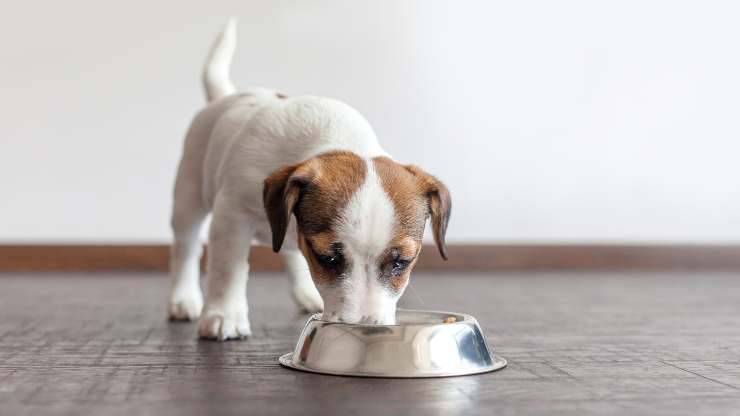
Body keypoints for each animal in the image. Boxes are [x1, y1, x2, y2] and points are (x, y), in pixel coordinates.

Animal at [169, 20, 450, 342]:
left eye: (401, 262)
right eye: (328, 259)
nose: (364, 327)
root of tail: (223, 98)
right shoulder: (232, 214)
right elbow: (227, 268)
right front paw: (223, 315)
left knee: (290, 251)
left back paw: (307, 293)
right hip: (188, 196)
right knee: (186, 246)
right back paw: (182, 298)